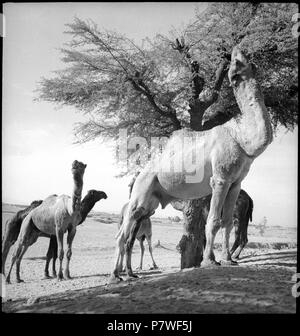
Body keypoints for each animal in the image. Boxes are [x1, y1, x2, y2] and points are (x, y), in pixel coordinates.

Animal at [109, 47, 272, 282]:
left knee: (130, 230)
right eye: (234, 75)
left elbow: (227, 222)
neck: (242, 139)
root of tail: (139, 174)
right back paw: (115, 276)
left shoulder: (235, 183)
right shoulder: (220, 179)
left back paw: (126, 274)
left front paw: (228, 260)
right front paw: (210, 261)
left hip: (151, 201)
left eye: (252, 66)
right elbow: (213, 220)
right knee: (123, 232)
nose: (236, 51)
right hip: (141, 189)